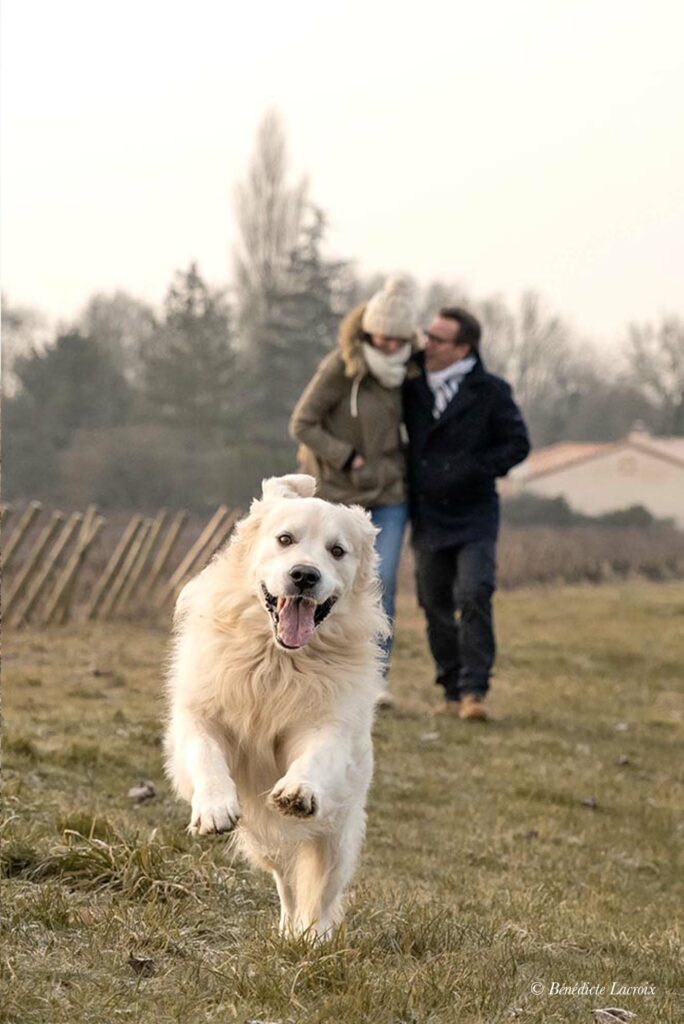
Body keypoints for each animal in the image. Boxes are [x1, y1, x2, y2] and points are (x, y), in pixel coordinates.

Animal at [163, 475, 387, 937]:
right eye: (285, 539)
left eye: (337, 551)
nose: (304, 575)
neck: (277, 659)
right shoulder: (198, 714)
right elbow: (204, 751)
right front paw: (214, 808)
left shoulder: (328, 725)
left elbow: (316, 755)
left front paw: (298, 790)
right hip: (271, 842)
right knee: (286, 883)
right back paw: (287, 930)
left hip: (334, 833)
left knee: (320, 893)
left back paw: (312, 938)